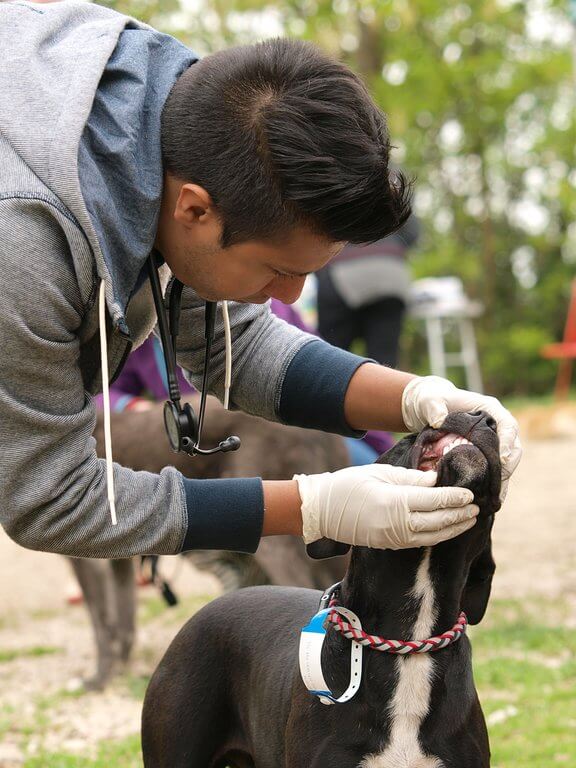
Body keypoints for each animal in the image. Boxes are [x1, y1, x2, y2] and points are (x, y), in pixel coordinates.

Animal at [71, 397, 349, 689]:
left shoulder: (85, 561)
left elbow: (101, 622)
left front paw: (99, 679)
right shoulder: (119, 562)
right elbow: (124, 617)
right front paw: (121, 670)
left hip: (278, 543)